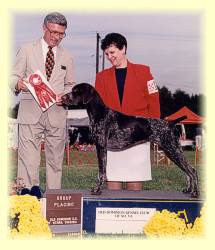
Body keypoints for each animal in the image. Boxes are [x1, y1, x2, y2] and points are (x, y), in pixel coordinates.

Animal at [61, 83, 199, 198]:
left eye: (76, 91)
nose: (62, 97)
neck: (99, 112)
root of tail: (170, 123)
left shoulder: (101, 147)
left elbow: (101, 172)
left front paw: (97, 190)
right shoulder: (101, 148)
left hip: (172, 149)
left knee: (192, 171)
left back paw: (195, 193)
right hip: (173, 150)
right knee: (187, 172)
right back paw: (188, 190)